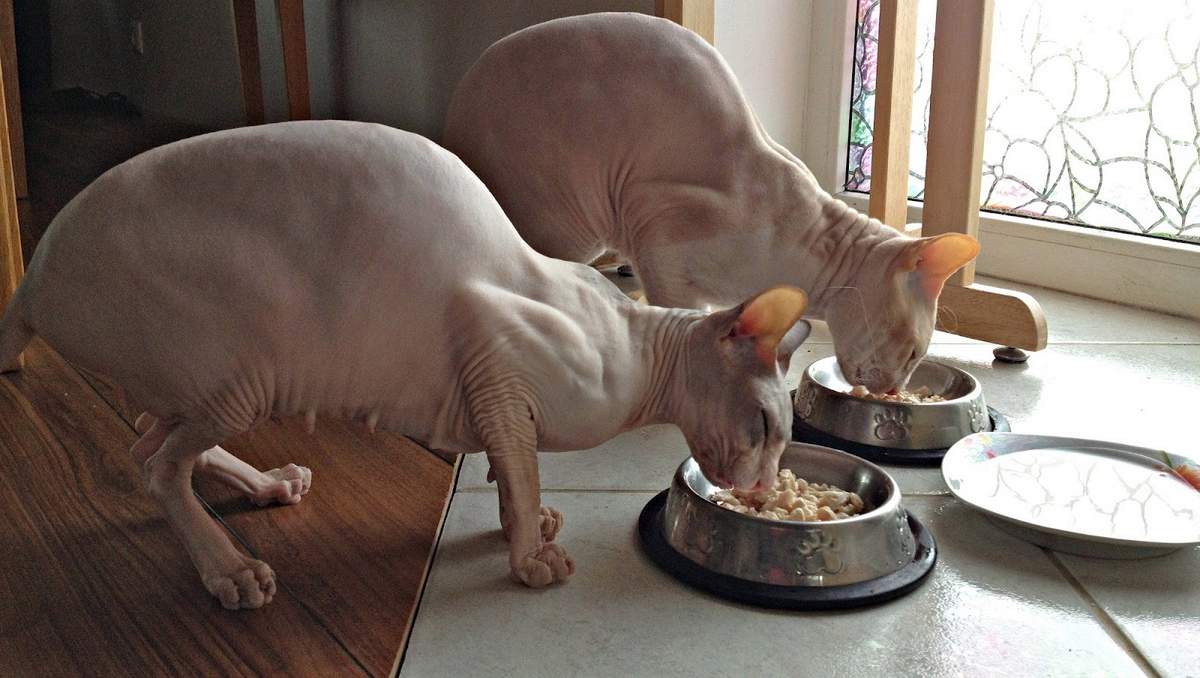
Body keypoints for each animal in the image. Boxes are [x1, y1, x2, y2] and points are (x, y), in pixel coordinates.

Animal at [0, 120, 812, 608]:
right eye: (765, 425)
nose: (763, 489)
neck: (637, 341)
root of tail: (33, 275)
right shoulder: (495, 359)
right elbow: (522, 467)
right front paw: (530, 558)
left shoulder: (492, 399)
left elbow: (508, 474)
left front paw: (524, 528)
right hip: (243, 377)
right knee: (155, 465)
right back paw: (230, 569)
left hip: (206, 388)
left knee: (147, 437)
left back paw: (269, 485)